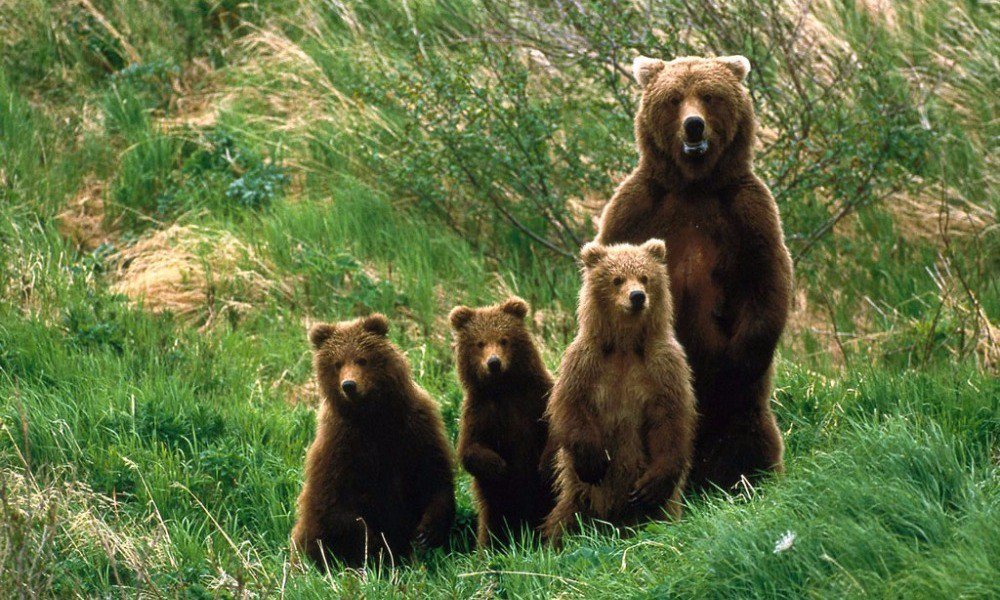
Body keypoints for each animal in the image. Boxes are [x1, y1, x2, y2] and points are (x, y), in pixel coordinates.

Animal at [291, 314, 455, 570]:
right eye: (337, 363)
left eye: (362, 359)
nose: (349, 385)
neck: (372, 416)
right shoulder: (340, 445)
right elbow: (335, 504)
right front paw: (378, 547)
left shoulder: (415, 427)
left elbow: (433, 474)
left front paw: (427, 531)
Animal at [449, 296, 556, 548]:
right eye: (480, 343)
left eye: (504, 339)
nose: (494, 362)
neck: (504, 389)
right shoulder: (480, 412)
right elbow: (469, 449)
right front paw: (499, 466)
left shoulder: (536, 398)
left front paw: (544, 465)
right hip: (496, 507)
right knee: (492, 527)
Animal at [542, 240, 697, 545]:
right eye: (617, 279)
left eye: (645, 277)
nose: (637, 297)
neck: (625, 345)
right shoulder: (586, 362)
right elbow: (570, 406)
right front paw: (594, 460)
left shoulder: (663, 366)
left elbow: (670, 418)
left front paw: (651, 485)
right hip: (580, 497)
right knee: (565, 519)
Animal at [595, 55, 793, 492]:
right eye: (673, 98)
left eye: (709, 94)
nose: (694, 125)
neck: (694, 186)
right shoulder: (636, 208)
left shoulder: (747, 213)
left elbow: (765, 280)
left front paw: (734, 363)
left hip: (742, 414)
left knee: (749, 436)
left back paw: (744, 479)